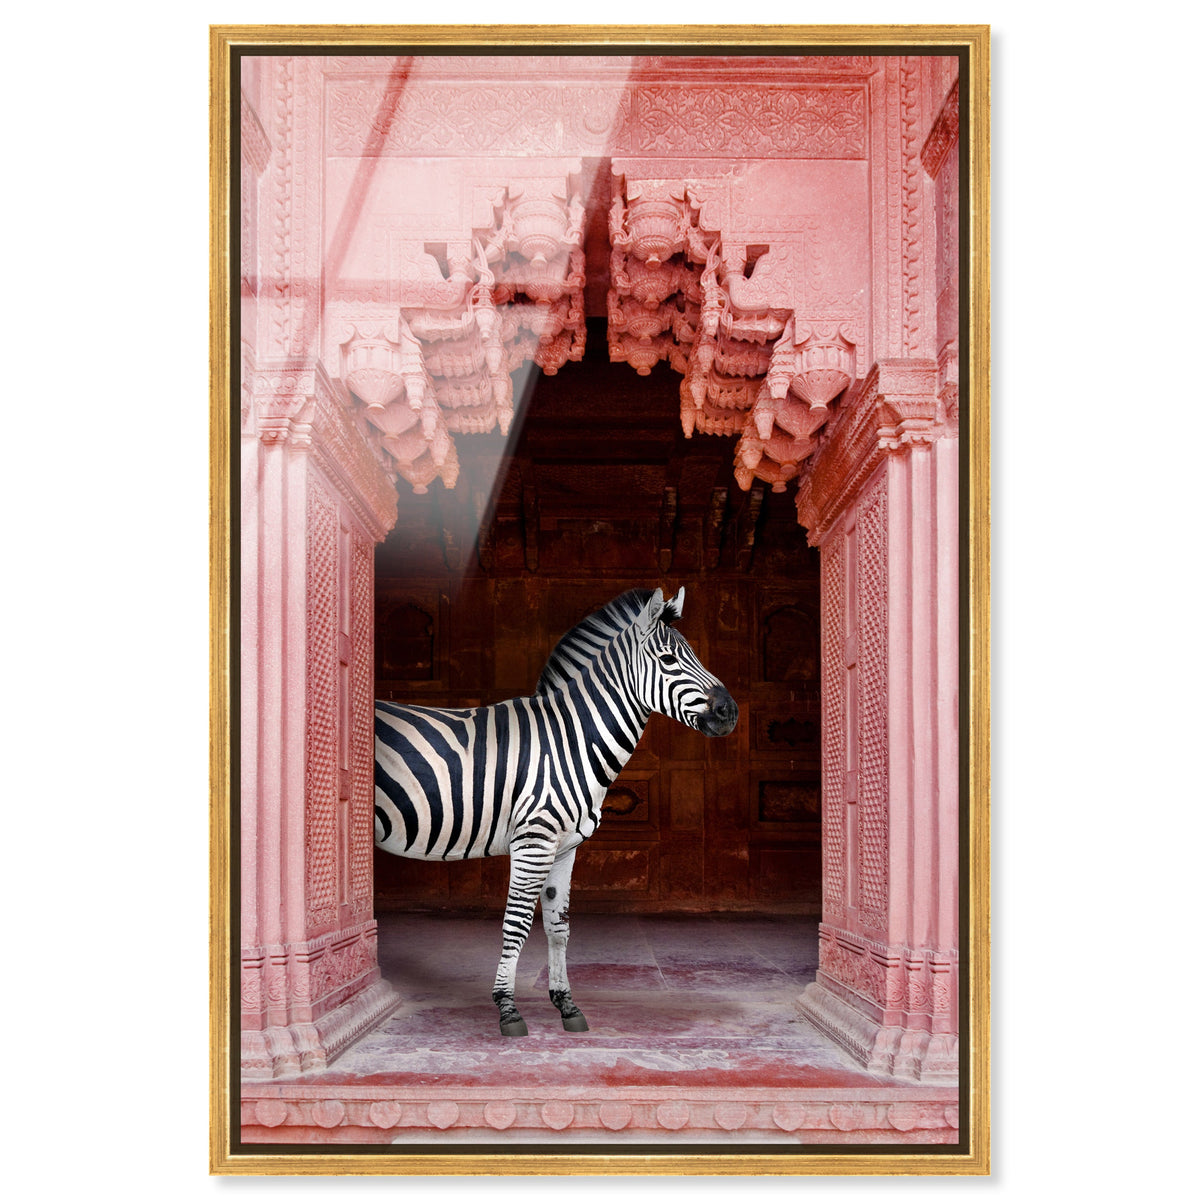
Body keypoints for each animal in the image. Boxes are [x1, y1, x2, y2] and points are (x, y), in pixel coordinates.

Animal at [373, 586, 738, 1037]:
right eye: (669, 660)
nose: (729, 712)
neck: (569, 741)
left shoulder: (565, 848)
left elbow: (558, 925)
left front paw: (566, 1004)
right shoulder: (534, 842)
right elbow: (516, 925)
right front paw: (507, 1008)